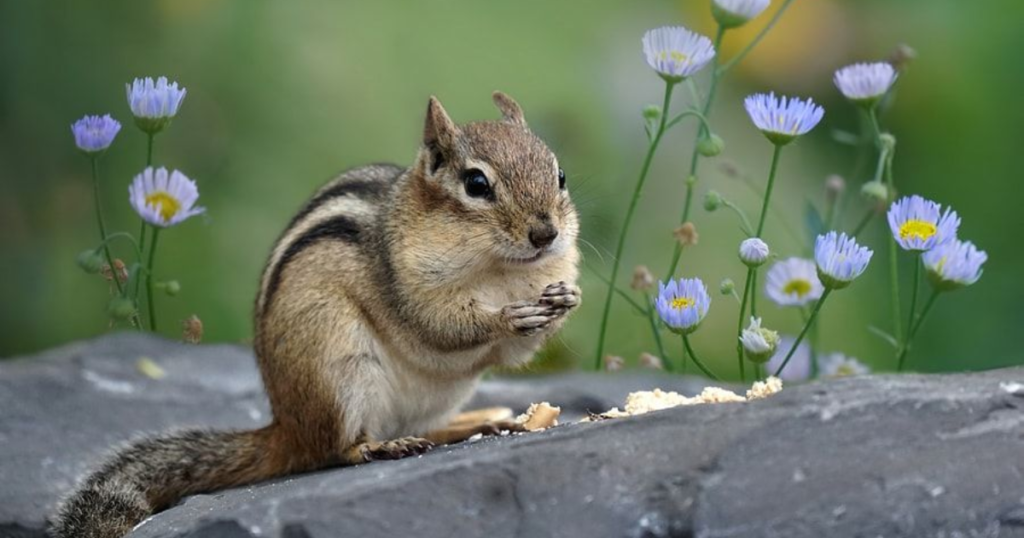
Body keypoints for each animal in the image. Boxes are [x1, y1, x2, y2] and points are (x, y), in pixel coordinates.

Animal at [49, 91, 580, 538]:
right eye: (476, 184)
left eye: (560, 176)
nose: (545, 234)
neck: (500, 270)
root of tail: (287, 427)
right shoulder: (406, 281)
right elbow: (441, 325)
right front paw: (506, 317)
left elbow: (515, 352)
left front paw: (566, 299)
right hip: (337, 365)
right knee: (334, 450)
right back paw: (376, 446)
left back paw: (472, 425)